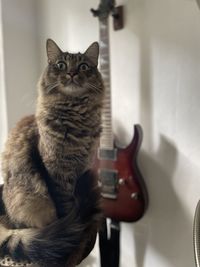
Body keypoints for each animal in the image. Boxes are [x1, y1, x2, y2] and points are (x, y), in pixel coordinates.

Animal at [0, 38, 104, 266]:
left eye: (83, 66)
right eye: (61, 65)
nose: (72, 73)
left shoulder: (83, 168)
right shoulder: (56, 173)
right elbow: (67, 210)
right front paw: (72, 235)